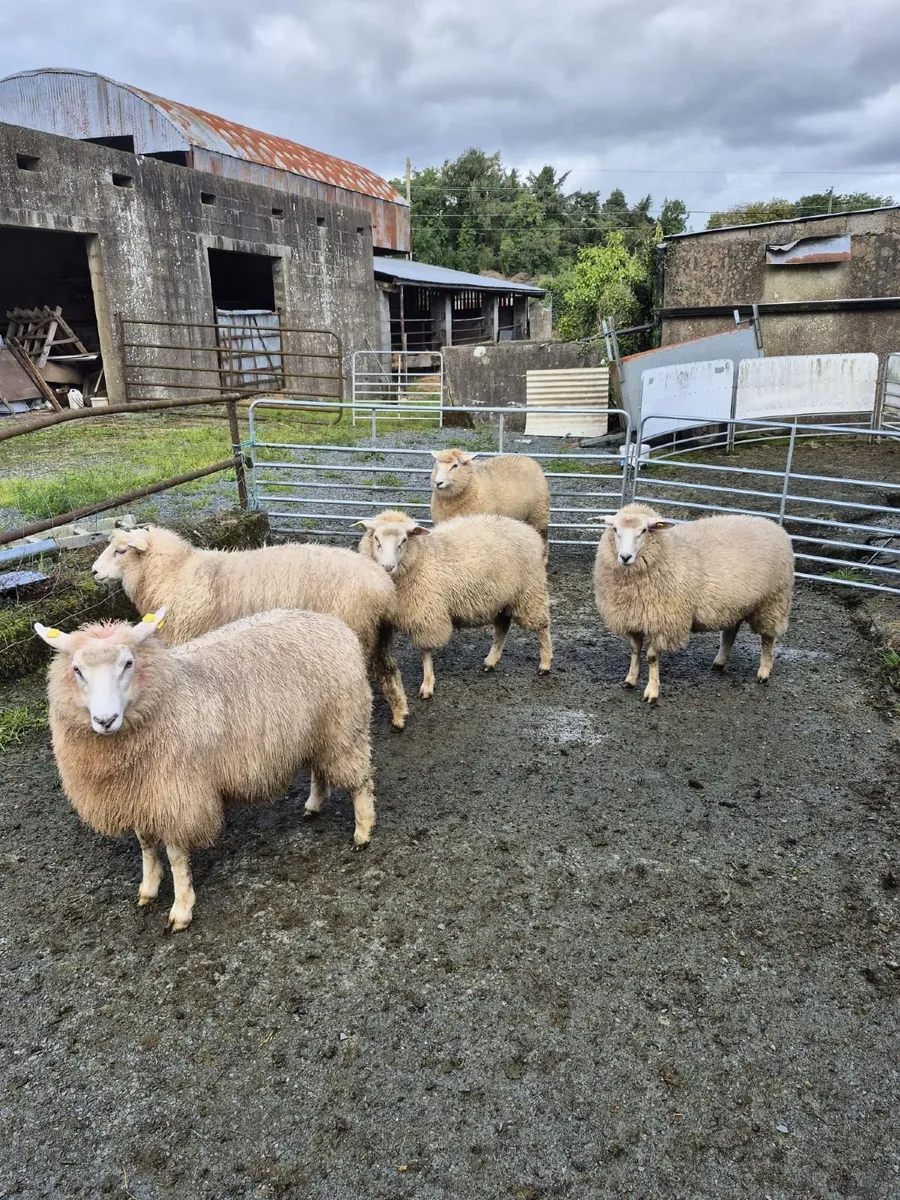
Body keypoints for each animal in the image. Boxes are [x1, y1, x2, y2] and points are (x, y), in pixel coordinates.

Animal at [35, 606, 376, 931]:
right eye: (77, 670)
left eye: (128, 663)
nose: (105, 720)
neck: (167, 696)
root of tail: (332, 622)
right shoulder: (141, 795)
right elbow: (146, 845)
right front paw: (148, 887)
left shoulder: (177, 795)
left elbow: (175, 857)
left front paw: (181, 908)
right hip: (318, 732)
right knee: (320, 770)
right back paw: (313, 806)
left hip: (344, 725)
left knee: (361, 782)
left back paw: (362, 833)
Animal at [91, 524, 408, 729]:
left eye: (120, 550)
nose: (93, 572)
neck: (174, 574)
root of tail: (382, 587)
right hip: (379, 633)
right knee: (390, 669)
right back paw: (400, 715)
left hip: (359, 632)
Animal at [357, 509, 552, 699]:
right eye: (376, 538)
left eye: (404, 540)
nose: (387, 567)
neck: (420, 558)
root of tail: (529, 531)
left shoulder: (427, 614)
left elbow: (425, 652)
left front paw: (427, 685)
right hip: (503, 598)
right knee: (502, 627)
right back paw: (491, 661)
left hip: (529, 591)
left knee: (542, 626)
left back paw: (545, 663)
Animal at [593, 503, 794, 704]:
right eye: (615, 529)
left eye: (644, 530)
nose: (625, 557)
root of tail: (774, 526)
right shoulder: (635, 617)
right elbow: (634, 650)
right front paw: (630, 680)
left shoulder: (663, 621)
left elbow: (651, 658)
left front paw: (651, 692)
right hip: (734, 604)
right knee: (730, 632)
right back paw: (719, 662)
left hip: (773, 601)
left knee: (767, 639)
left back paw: (763, 672)